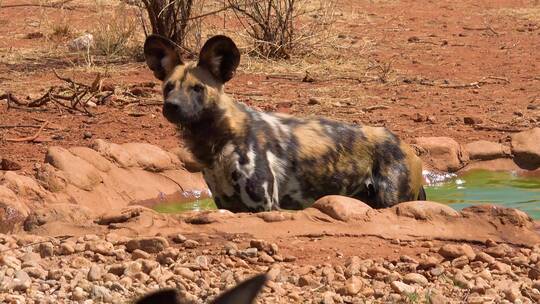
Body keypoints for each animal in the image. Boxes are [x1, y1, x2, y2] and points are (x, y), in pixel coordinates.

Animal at [143, 35, 426, 211]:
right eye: (169, 87)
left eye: (197, 88)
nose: (172, 106)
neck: (217, 139)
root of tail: (405, 145)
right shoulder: (229, 207)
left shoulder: (263, 207)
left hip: (391, 202)